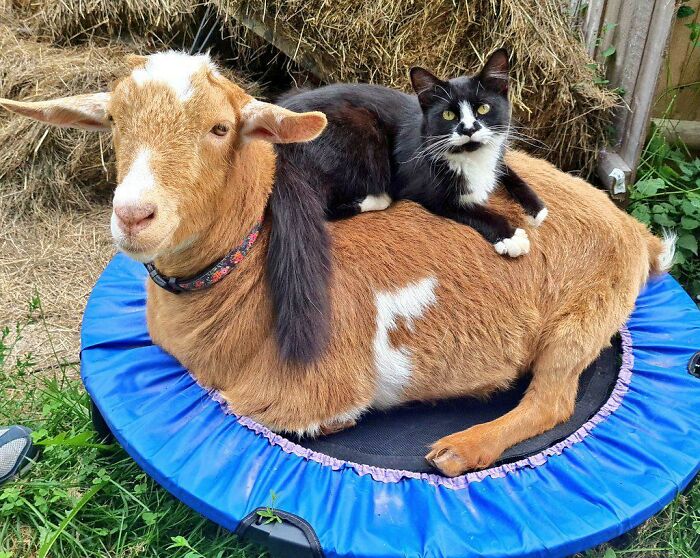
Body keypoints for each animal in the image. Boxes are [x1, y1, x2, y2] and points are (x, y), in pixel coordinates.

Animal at [268, 47, 548, 364]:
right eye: (449, 114)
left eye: (483, 109)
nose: (468, 128)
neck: (469, 157)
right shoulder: (425, 188)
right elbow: (472, 209)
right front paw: (511, 236)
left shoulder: (494, 159)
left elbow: (506, 169)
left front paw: (536, 207)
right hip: (360, 131)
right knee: (324, 205)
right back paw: (378, 197)